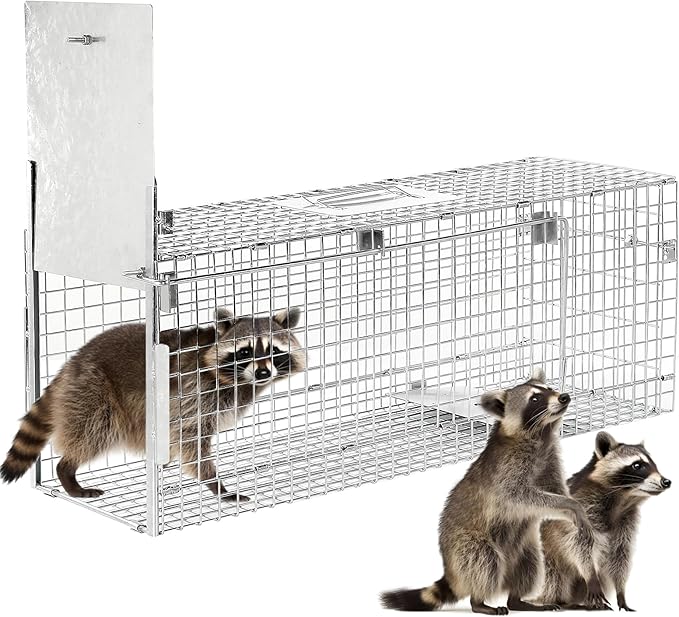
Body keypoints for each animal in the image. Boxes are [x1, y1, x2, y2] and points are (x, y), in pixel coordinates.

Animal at [1, 306, 305, 499]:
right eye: (245, 352)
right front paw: (215, 485)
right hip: (94, 392)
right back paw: (67, 470)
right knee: (94, 431)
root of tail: (73, 361)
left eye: (273, 351)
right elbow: (190, 439)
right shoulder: (195, 393)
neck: (240, 381)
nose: (263, 373)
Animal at [381, 369, 595, 614]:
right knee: (484, 560)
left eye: (550, 389)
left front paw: (571, 506)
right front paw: (571, 506)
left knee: (530, 565)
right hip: (467, 546)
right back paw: (479, 602)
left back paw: (517, 600)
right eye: (534, 399)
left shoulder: (550, 461)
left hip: (524, 548)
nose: (564, 397)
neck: (541, 434)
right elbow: (521, 496)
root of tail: (452, 573)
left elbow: (557, 491)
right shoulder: (508, 469)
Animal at [538, 431, 671, 611]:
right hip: (548, 560)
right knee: (552, 576)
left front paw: (621, 591)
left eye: (654, 464)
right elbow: (579, 545)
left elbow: (620, 555)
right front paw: (591, 576)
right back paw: (552, 601)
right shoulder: (582, 510)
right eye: (637, 465)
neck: (623, 500)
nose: (666, 481)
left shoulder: (626, 521)